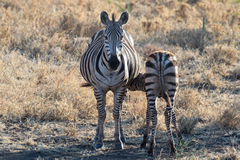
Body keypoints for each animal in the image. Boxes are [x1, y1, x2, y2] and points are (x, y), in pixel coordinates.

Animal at [79, 11, 140, 150]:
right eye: (106, 38)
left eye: (121, 37)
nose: (114, 63)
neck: (111, 71)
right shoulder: (98, 88)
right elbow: (102, 113)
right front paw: (99, 140)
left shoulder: (121, 87)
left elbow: (116, 113)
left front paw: (118, 140)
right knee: (99, 108)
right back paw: (96, 136)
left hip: (124, 89)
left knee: (120, 109)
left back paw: (122, 136)